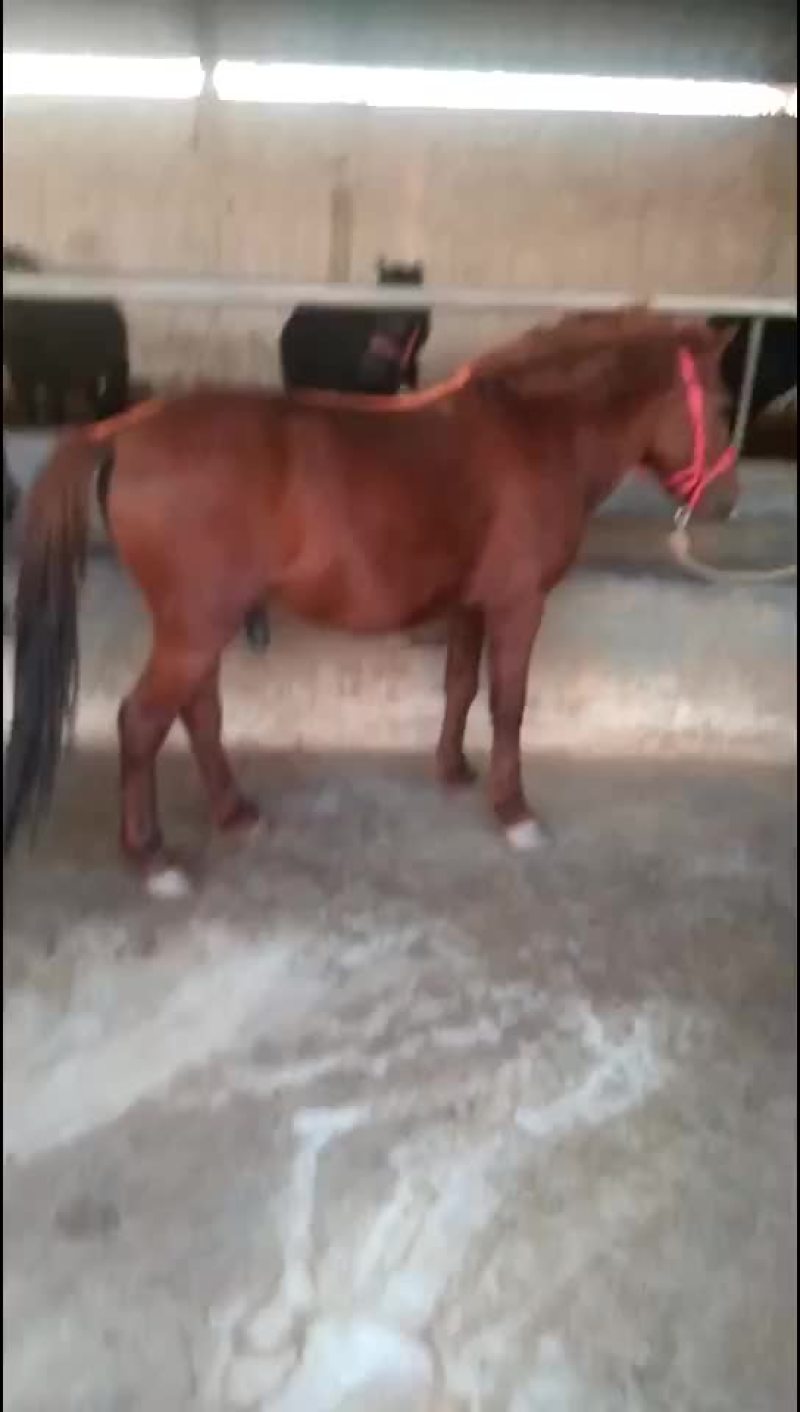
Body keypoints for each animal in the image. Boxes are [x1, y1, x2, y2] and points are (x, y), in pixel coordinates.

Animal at [3, 244, 130, 426]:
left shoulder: (55, 378)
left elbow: (56, 409)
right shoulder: (22, 378)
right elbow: (32, 410)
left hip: (110, 366)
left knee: (110, 393)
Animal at [3, 308, 737, 897]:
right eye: (726, 400)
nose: (725, 502)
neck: (535, 430)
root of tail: (122, 430)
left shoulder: (472, 604)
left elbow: (461, 685)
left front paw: (453, 770)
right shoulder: (518, 604)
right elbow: (508, 704)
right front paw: (514, 811)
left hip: (199, 626)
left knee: (200, 714)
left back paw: (235, 812)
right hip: (193, 628)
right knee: (141, 723)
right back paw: (155, 860)